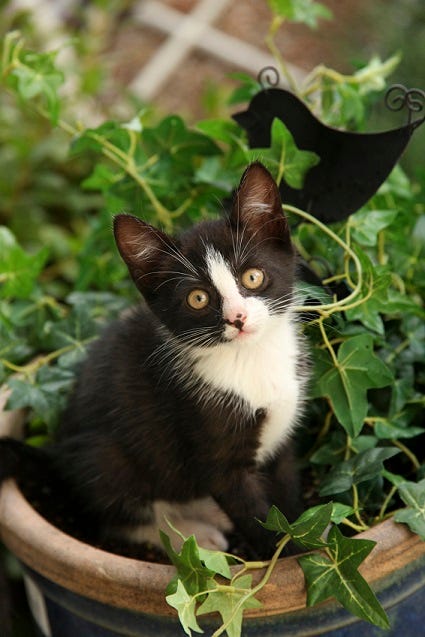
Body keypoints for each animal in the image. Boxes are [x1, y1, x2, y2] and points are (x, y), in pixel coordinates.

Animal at [0, 163, 304, 556]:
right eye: (198, 299)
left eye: (252, 277)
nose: (237, 318)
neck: (250, 360)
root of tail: (57, 457)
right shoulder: (209, 441)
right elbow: (253, 512)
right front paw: (289, 553)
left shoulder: (282, 433)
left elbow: (287, 495)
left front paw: (308, 535)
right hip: (107, 459)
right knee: (118, 516)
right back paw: (191, 534)